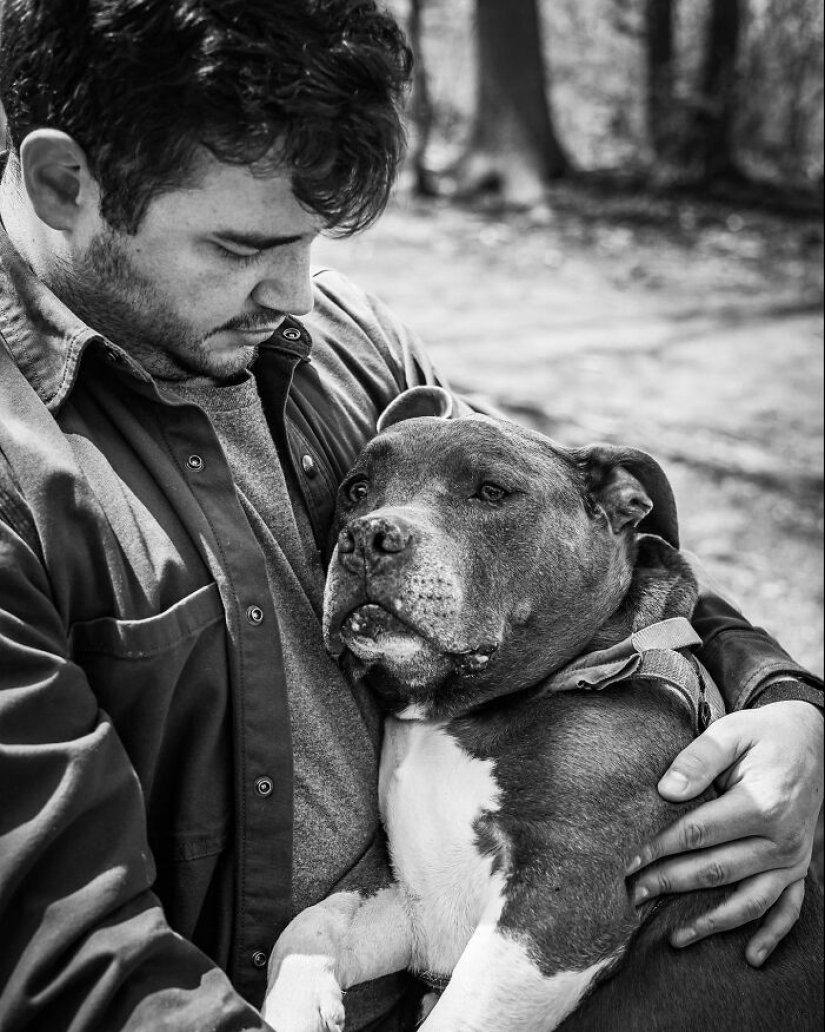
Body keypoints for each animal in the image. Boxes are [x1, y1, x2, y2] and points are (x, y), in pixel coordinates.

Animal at [266, 388, 825, 1032]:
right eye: (356, 488)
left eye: (491, 492)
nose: (364, 538)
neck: (456, 709)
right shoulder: (420, 895)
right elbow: (311, 924)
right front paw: (294, 1002)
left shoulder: (559, 909)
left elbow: (455, 1015)